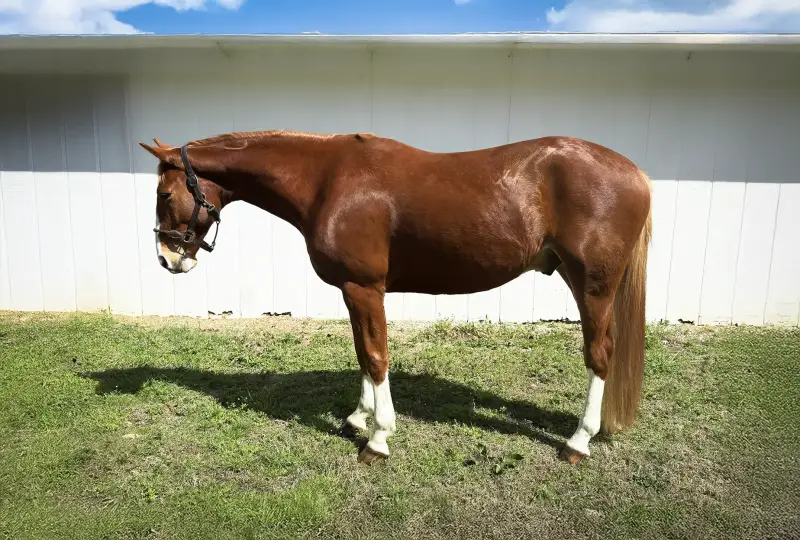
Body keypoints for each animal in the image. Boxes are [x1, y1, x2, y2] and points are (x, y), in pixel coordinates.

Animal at [139, 130, 652, 465]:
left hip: (593, 286)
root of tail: (635, 172)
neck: (328, 180)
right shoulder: (353, 290)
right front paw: (357, 418)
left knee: (600, 354)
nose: (167, 258)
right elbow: (363, 356)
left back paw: (578, 441)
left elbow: (376, 355)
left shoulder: (365, 287)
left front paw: (378, 438)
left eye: (164, 194)